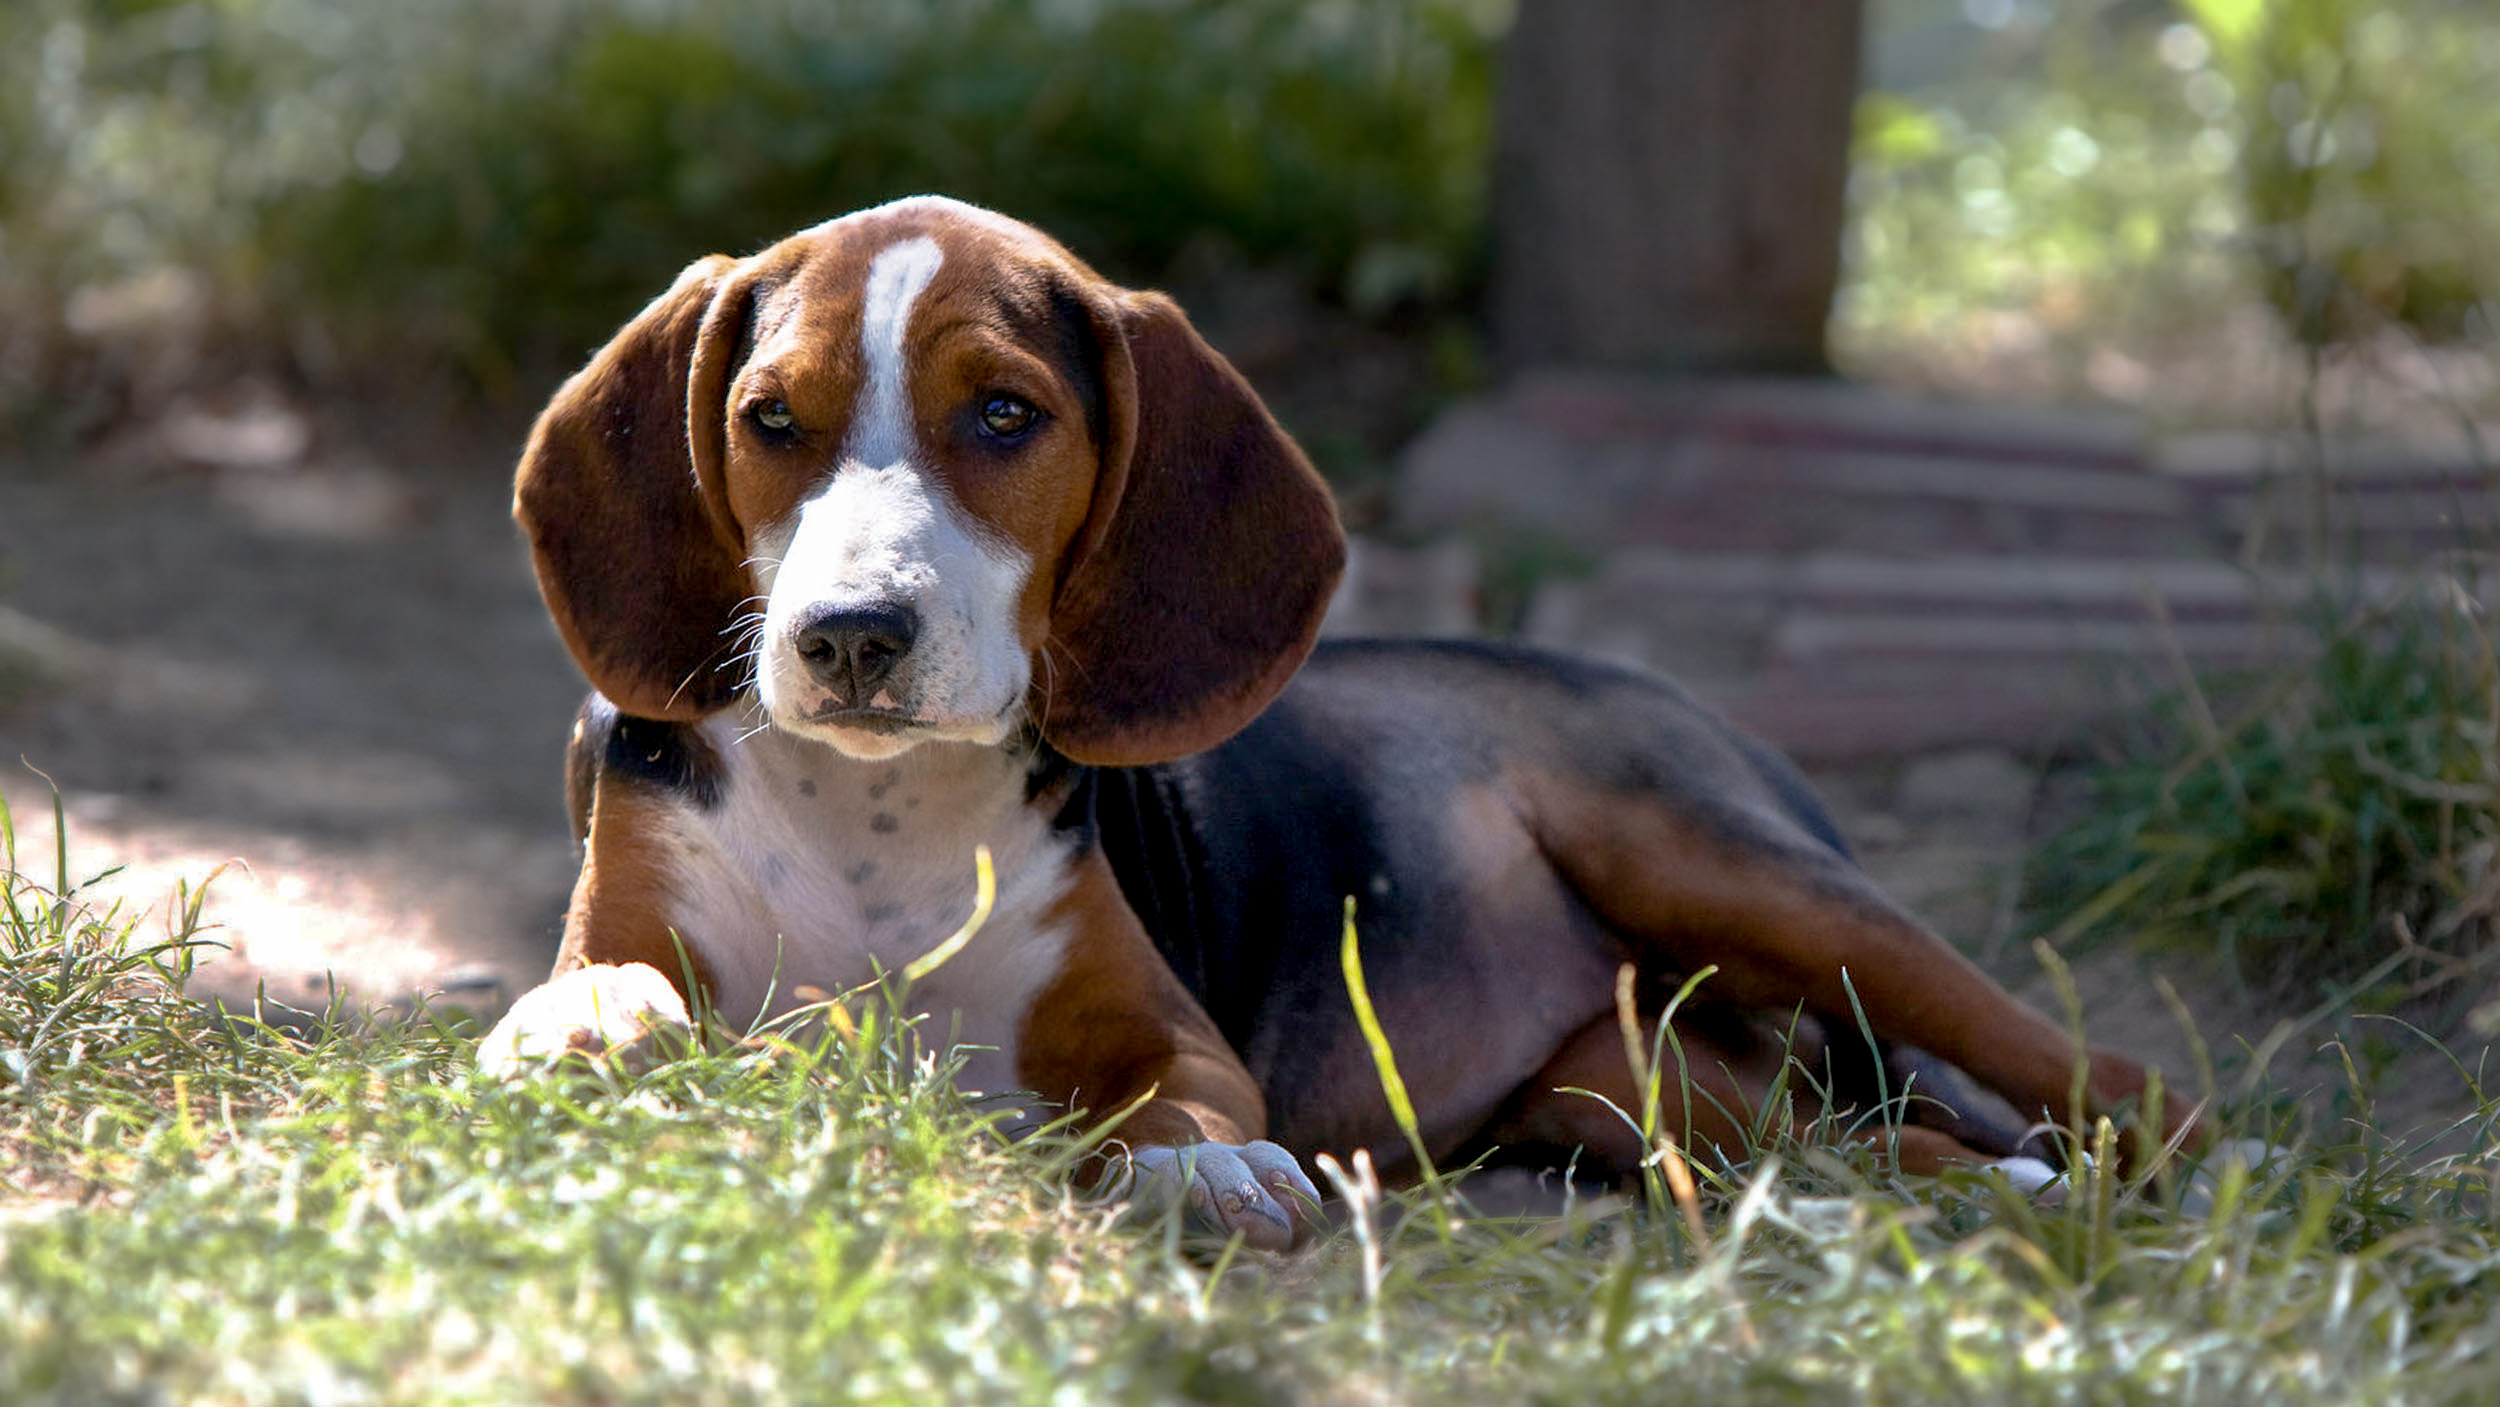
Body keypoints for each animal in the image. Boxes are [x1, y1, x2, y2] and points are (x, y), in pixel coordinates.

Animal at [477, 192, 2200, 1249]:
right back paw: (1997, 1202)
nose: (847, 635)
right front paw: (575, 1029)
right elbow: (605, 979)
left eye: (1007, 415)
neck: (873, 813)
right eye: (769, 420)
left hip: (1724, 862)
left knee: (2112, 1077)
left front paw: (1203, 1166)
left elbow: (1178, 1096)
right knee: (1858, 1145)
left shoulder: (1167, 1023)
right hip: (1645, 1088)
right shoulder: (636, 909)